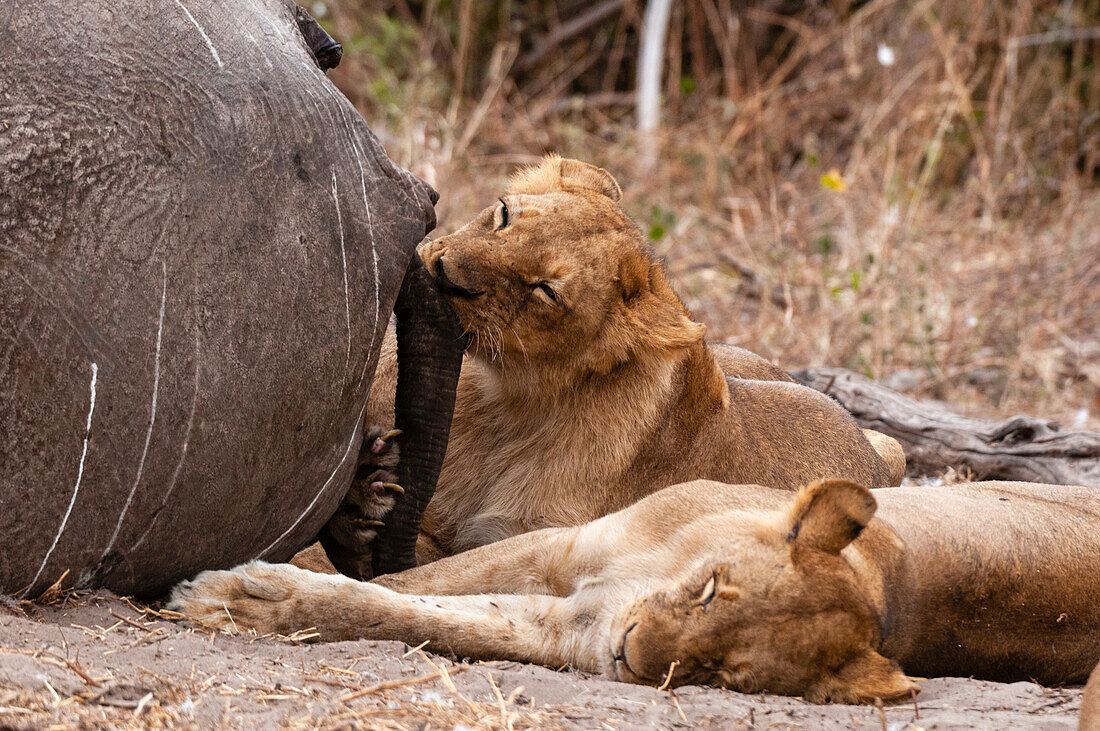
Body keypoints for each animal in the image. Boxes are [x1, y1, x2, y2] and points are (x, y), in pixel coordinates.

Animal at [319, 154, 902, 571]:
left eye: (545, 290)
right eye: (504, 214)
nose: (442, 274)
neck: (507, 403)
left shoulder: (531, 536)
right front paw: (361, 498)